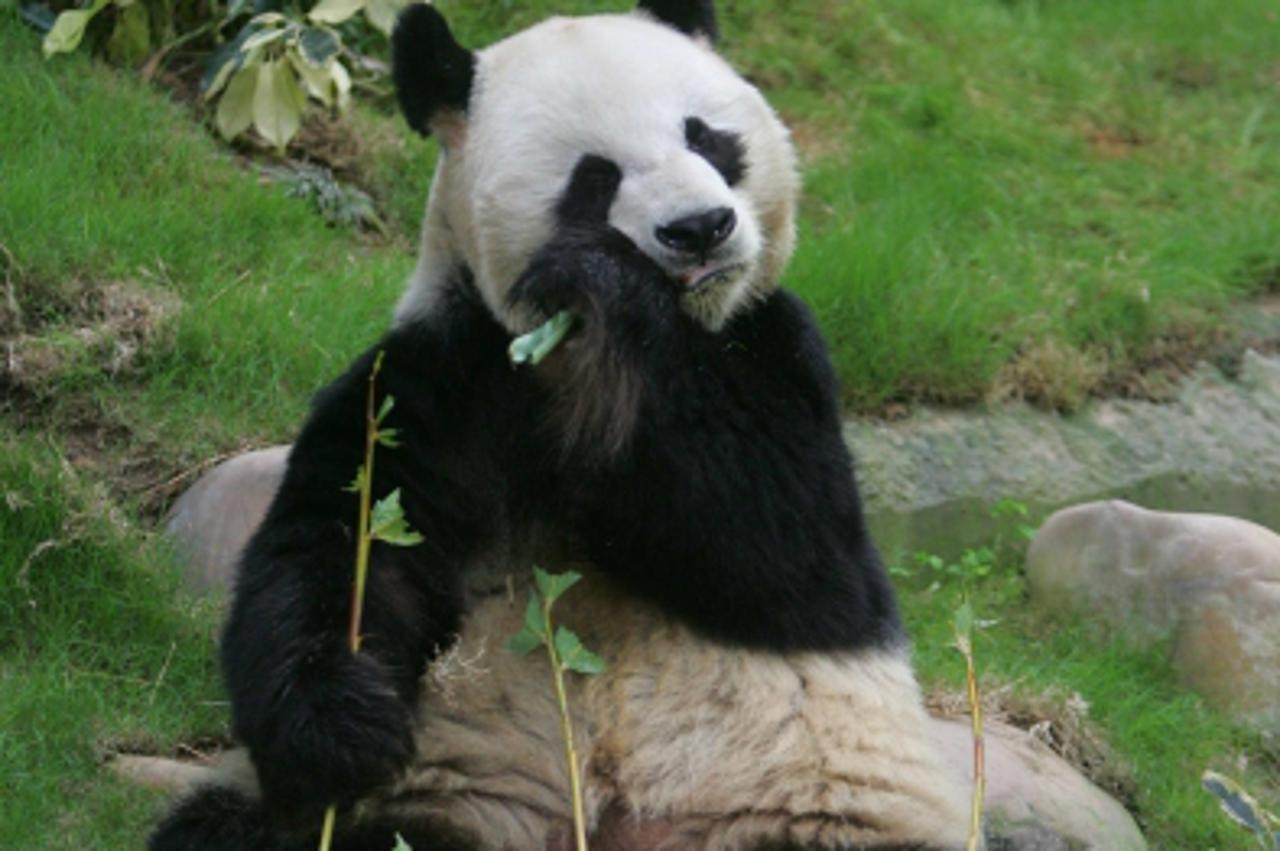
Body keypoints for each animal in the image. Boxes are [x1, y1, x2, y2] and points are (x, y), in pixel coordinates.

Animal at [151, 2, 970, 850]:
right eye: (595, 177)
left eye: (706, 138)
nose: (700, 227)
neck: (579, 353)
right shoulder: (444, 380)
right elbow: (345, 539)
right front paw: (339, 726)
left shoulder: (776, 348)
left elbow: (788, 554)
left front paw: (612, 284)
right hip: (467, 793)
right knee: (242, 828)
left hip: (803, 805)